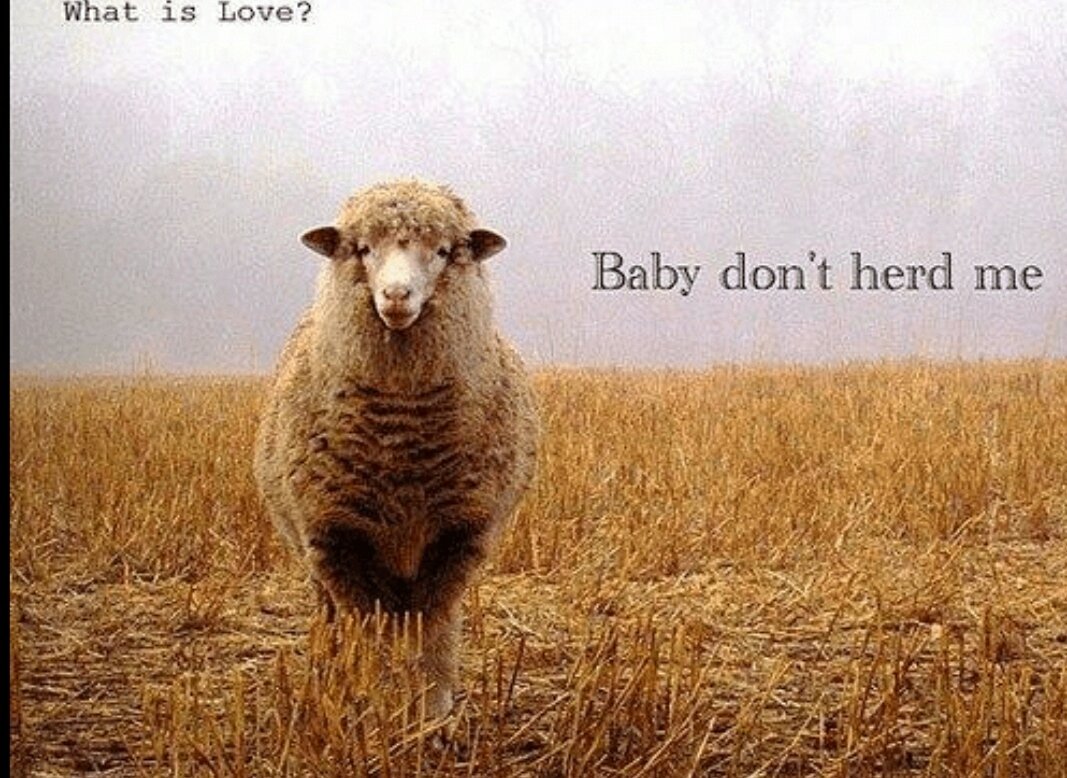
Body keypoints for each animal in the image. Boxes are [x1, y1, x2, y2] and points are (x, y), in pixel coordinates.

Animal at [253, 179, 538, 722]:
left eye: (445, 251)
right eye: (363, 249)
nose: (397, 296)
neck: (402, 443)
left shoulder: (459, 537)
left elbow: (434, 631)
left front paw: (431, 713)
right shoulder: (336, 540)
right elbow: (370, 636)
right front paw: (375, 702)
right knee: (334, 619)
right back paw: (328, 676)